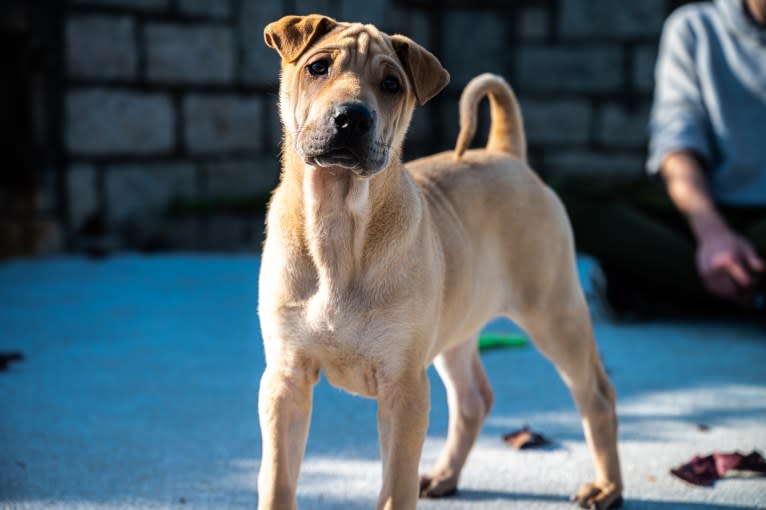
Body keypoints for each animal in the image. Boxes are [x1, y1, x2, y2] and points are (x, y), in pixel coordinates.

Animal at [258, 13, 624, 510]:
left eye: (391, 84)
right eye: (318, 67)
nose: (352, 117)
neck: (336, 222)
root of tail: (506, 153)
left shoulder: (404, 387)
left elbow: (395, 486)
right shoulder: (285, 380)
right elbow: (278, 478)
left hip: (554, 312)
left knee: (597, 396)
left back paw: (607, 487)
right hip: (458, 325)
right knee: (474, 399)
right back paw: (446, 475)